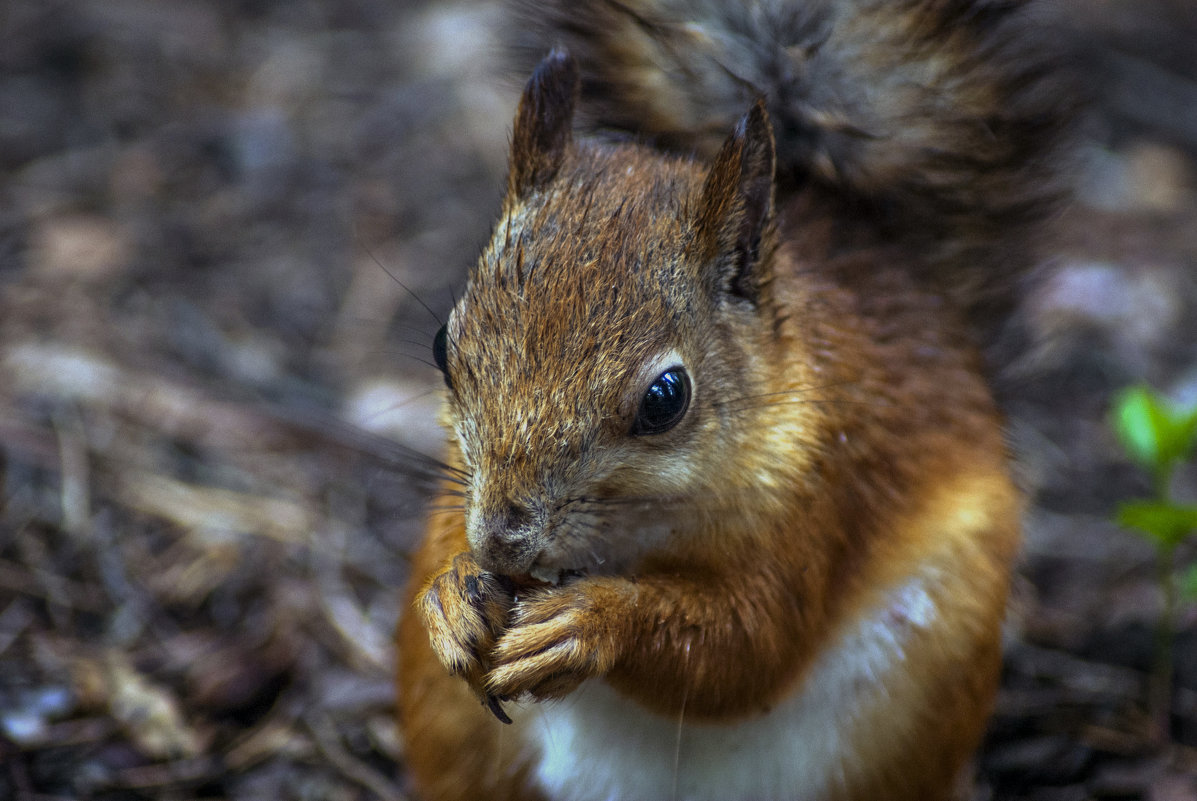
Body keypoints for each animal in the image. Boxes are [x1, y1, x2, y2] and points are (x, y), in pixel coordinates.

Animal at [397, 1, 1072, 799]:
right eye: (443, 344)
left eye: (666, 397)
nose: (502, 540)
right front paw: (451, 593)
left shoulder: (825, 496)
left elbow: (748, 645)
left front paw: (591, 622)